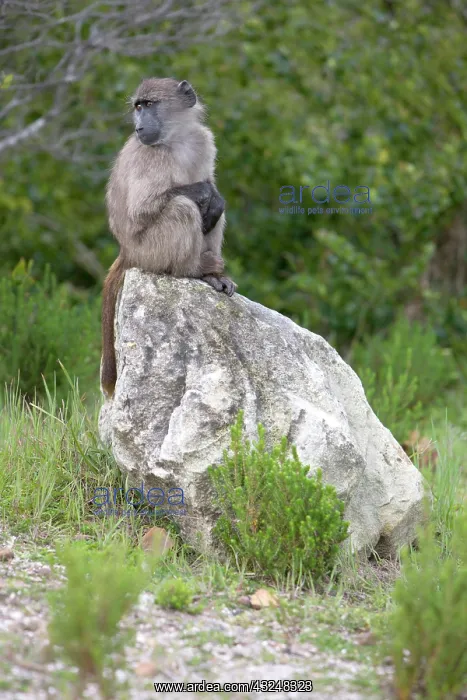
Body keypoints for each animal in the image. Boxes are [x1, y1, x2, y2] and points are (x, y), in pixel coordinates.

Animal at [101, 77, 236, 398]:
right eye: (138, 106)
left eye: (148, 105)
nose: (139, 127)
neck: (176, 138)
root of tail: (127, 252)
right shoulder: (151, 156)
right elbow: (143, 209)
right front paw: (205, 192)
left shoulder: (203, 140)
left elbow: (214, 195)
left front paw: (214, 197)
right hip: (150, 251)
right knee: (184, 207)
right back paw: (195, 270)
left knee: (213, 214)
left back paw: (214, 275)